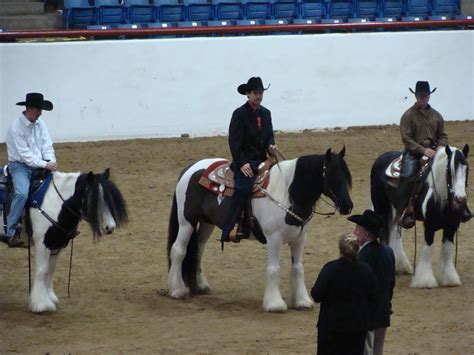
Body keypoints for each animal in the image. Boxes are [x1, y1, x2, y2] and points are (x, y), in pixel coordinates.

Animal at [13, 171, 127, 312]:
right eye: (94, 199)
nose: (110, 227)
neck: (54, 203)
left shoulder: (56, 244)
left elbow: (50, 270)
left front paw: (50, 297)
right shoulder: (42, 244)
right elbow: (42, 270)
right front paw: (41, 304)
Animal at [168, 149, 352, 312]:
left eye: (346, 177)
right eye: (332, 175)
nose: (348, 206)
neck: (287, 194)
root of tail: (190, 168)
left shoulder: (300, 238)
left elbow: (298, 267)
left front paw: (302, 301)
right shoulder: (274, 238)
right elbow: (274, 269)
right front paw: (275, 304)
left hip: (206, 223)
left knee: (198, 250)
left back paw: (201, 286)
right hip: (187, 222)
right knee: (178, 250)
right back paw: (177, 290)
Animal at [372, 146, 468, 288]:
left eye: (467, 169)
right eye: (449, 171)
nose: (460, 199)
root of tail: (382, 157)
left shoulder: (451, 227)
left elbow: (447, 250)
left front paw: (450, 278)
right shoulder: (429, 226)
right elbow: (428, 249)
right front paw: (425, 280)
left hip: (399, 212)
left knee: (395, 229)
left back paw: (401, 265)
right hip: (381, 207)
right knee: (385, 234)